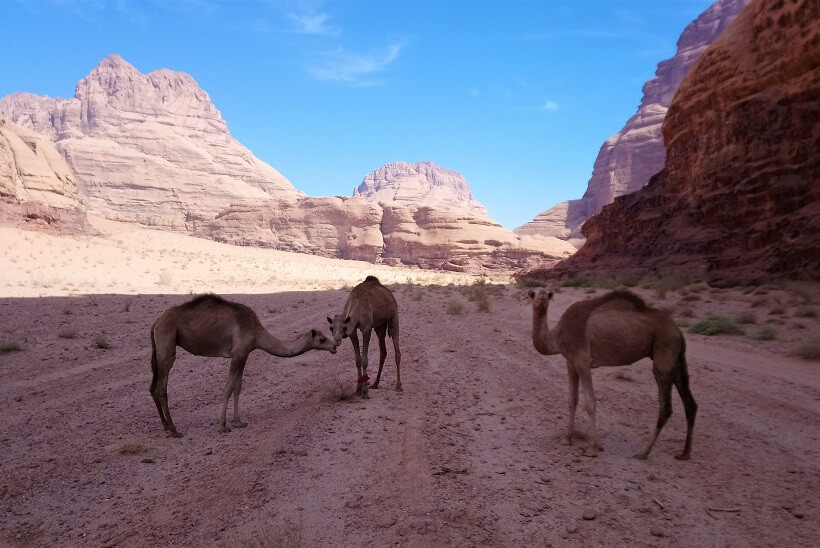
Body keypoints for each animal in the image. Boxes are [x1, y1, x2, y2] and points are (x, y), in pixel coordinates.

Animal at [151, 296, 336, 436]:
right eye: (322, 339)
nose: (334, 346)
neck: (257, 332)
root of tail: (158, 321)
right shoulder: (237, 354)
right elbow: (228, 388)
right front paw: (222, 425)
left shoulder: (244, 355)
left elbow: (238, 387)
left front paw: (238, 421)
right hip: (167, 343)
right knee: (161, 387)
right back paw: (174, 429)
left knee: (153, 387)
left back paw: (165, 426)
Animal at [524, 288, 700, 460]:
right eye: (533, 293)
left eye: (548, 294)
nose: (542, 294)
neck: (558, 337)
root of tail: (678, 331)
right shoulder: (570, 361)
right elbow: (572, 400)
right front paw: (566, 439)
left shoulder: (582, 360)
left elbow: (590, 403)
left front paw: (591, 448)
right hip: (676, 358)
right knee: (690, 404)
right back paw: (684, 453)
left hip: (664, 348)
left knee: (666, 406)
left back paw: (643, 453)